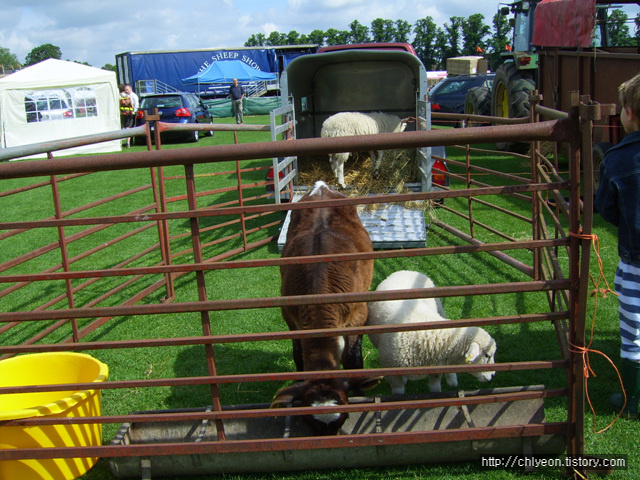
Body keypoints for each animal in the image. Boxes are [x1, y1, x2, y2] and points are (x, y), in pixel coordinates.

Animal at [364, 270, 496, 394]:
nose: (493, 375)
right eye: (487, 355)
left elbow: (435, 388)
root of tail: (408, 270)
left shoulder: (436, 369)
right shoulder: (391, 371)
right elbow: (399, 391)